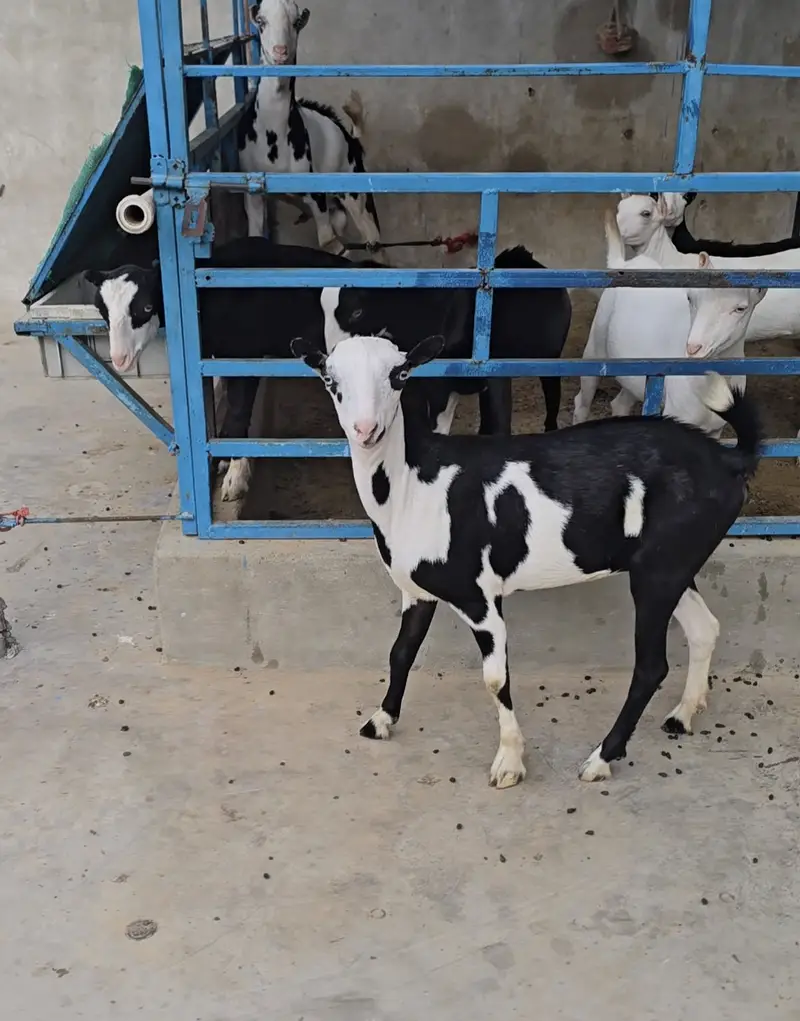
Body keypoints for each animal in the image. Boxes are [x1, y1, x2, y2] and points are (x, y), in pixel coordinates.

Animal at [236, 0, 382, 258]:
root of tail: (351, 138)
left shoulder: (317, 195)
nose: (280, 51)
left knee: (372, 236)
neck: (272, 137)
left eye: (296, 23)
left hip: (355, 189)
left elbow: (329, 243)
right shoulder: (252, 194)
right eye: (261, 22)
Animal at [291, 331, 761, 788]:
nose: (365, 429)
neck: (412, 485)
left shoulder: (479, 597)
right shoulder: (417, 589)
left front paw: (509, 763)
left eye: (400, 374)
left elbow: (495, 679)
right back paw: (681, 716)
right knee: (704, 628)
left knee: (651, 666)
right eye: (330, 380)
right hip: (672, 562)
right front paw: (381, 720)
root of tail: (728, 458)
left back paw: (601, 758)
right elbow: (400, 651)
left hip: (660, 568)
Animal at [574, 213, 766, 435]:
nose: (693, 348)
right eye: (690, 298)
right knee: (583, 398)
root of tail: (623, 264)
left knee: (621, 402)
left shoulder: (716, 429)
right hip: (596, 343)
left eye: (740, 308)